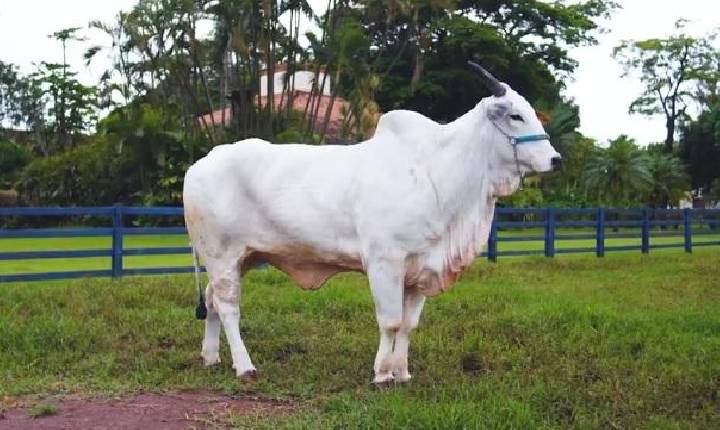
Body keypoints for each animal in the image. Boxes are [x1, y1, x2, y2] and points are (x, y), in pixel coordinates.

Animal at [182, 62, 561, 384]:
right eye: (515, 115)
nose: (555, 159)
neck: (436, 173)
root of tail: (199, 164)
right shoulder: (385, 262)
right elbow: (391, 322)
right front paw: (382, 374)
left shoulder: (420, 269)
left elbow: (408, 326)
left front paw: (403, 373)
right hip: (222, 254)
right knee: (228, 307)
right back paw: (244, 366)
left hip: (245, 256)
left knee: (211, 300)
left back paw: (211, 357)